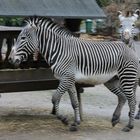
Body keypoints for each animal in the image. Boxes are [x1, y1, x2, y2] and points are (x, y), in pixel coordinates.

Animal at [8, 17, 139, 131]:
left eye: (23, 38)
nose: (10, 59)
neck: (58, 50)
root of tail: (129, 48)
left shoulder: (66, 78)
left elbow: (55, 98)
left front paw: (64, 119)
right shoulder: (69, 80)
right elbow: (74, 102)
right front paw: (76, 123)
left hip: (127, 78)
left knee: (132, 101)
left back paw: (129, 126)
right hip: (111, 81)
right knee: (122, 97)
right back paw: (115, 119)